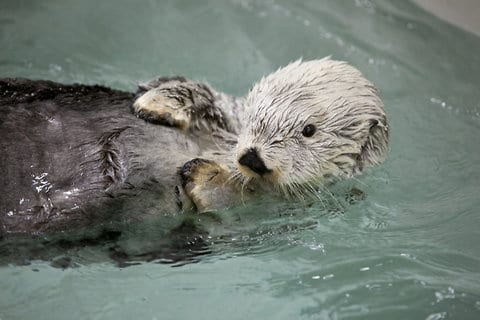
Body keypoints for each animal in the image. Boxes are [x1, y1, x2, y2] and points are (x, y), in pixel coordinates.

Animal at [0, 57, 388, 236]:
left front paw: (206, 177)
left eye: (308, 131)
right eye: (257, 114)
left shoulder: (291, 207)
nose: (252, 157)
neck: (227, 142)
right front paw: (157, 101)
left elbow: (239, 203)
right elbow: (195, 91)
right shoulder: (226, 114)